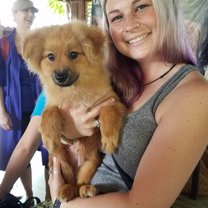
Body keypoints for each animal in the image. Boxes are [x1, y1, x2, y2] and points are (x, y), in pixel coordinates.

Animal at [22, 21, 127, 202]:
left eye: (73, 54)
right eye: (50, 57)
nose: (60, 76)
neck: (74, 91)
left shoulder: (112, 101)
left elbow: (108, 112)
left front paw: (109, 139)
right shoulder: (53, 104)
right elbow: (49, 113)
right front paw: (49, 138)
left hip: (90, 163)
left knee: (80, 183)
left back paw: (86, 189)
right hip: (60, 159)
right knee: (71, 181)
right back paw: (66, 190)